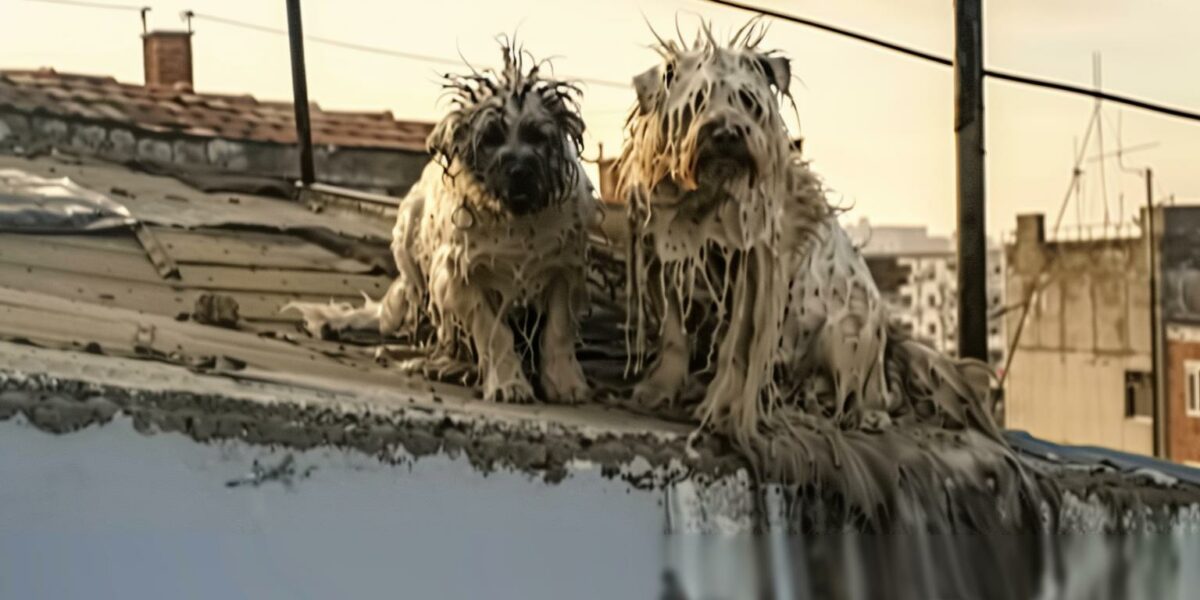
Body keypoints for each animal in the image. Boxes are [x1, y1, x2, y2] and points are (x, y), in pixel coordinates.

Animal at [286, 41, 595, 403]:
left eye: (536, 136)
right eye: (489, 138)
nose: (518, 170)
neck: (514, 218)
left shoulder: (563, 269)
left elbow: (558, 330)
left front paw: (564, 381)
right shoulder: (462, 278)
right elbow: (493, 334)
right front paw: (508, 383)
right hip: (412, 254)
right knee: (417, 328)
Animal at [614, 22, 998, 446]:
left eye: (749, 101)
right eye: (697, 101)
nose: (728, 132)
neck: (708, 197)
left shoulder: (751, 280)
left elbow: (734, 350)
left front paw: (719, 406)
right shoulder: (666, 264)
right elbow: (673, 336)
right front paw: (661, 388)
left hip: (845, 330)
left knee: (869, 394)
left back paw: (856, 411)